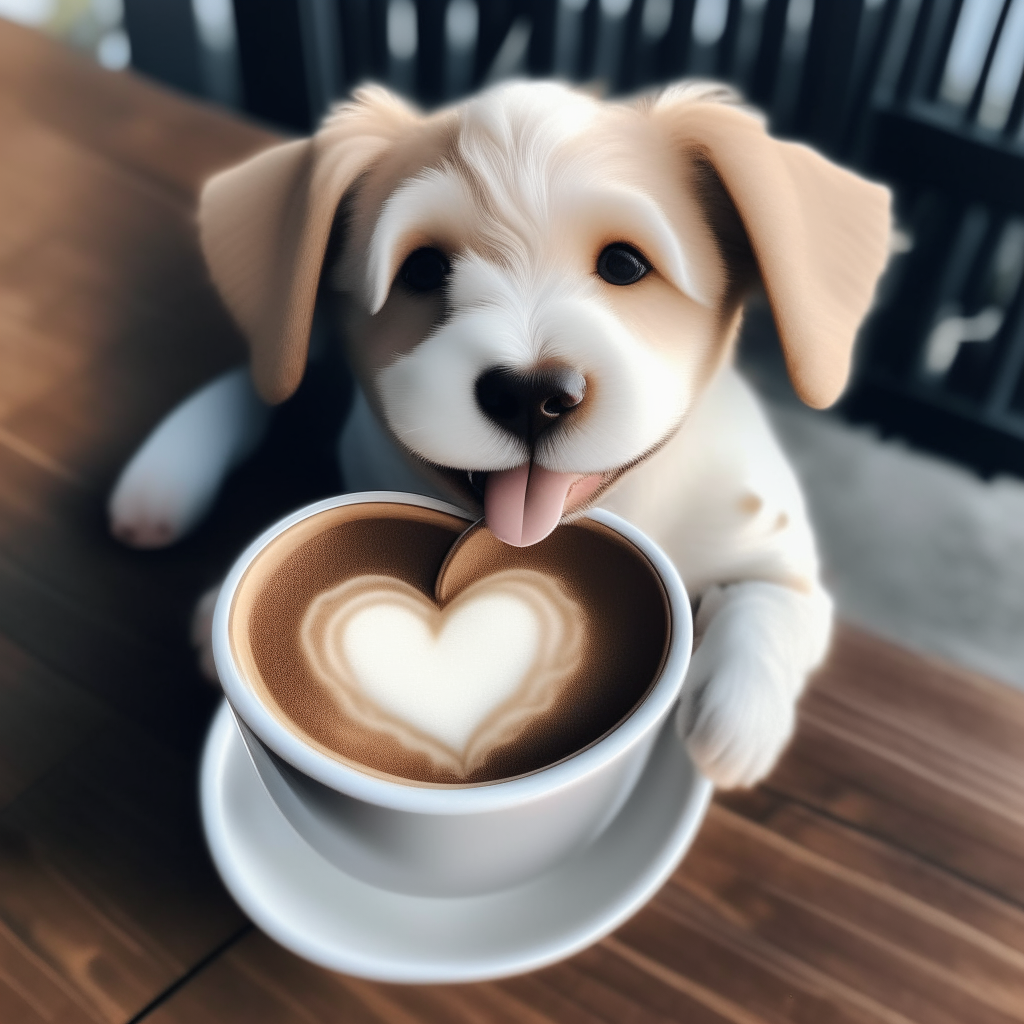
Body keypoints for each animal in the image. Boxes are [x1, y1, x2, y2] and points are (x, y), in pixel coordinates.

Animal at [110, 79, 888, 786]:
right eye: (423, 268)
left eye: (625, 264)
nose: (531, 395)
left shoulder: (774, 549)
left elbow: (771, 604)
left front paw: (736, 716)